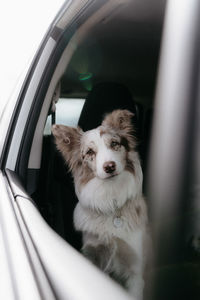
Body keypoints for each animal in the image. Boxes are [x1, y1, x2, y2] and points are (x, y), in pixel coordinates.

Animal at [52, 110, 149, 300]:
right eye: (90, 152)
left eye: (114, 144)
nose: (109, 166)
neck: (110, 200)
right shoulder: (93, 255)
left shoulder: (135, 269)